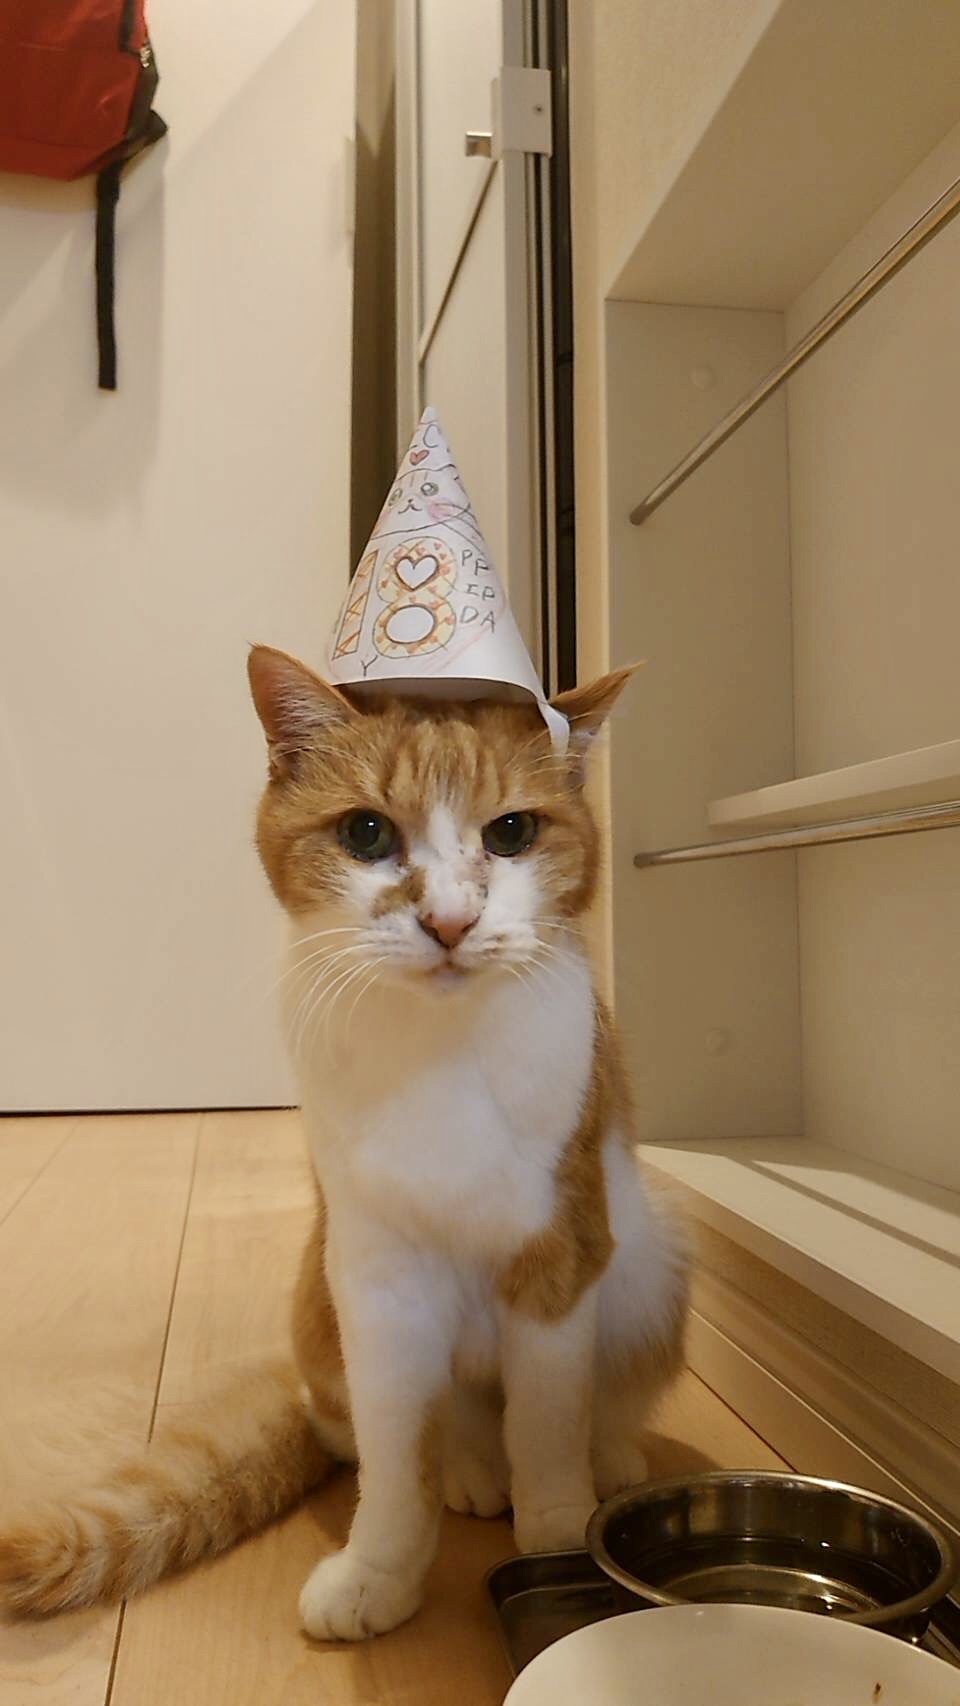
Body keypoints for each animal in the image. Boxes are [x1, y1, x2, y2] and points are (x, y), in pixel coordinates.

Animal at [0, 647, 689, 1640]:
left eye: (512, 832)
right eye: (365, 834)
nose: (450, 921)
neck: (438, 1058)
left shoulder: (556, 1254)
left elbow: (548, 1424)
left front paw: (559, 1533)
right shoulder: (377, 1278)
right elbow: (399, 1454)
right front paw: (381, 1573)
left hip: (650, 1253)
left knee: (590, 1404)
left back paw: (609, 1462)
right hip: (320, 1300)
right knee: (415, 1429)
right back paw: (473, 1475)